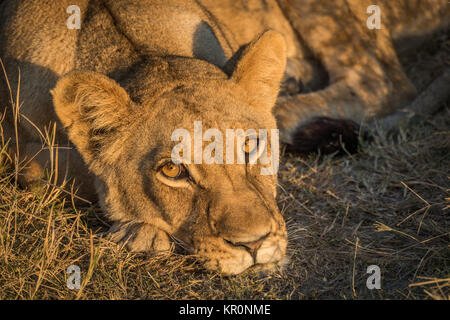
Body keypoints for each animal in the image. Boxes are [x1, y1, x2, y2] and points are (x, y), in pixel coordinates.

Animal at [0, 0, 448, 276]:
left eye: (250, 147)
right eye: (172, 171)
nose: (254, 245)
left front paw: (137, 229)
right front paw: (140, 229)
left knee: (383, 81)